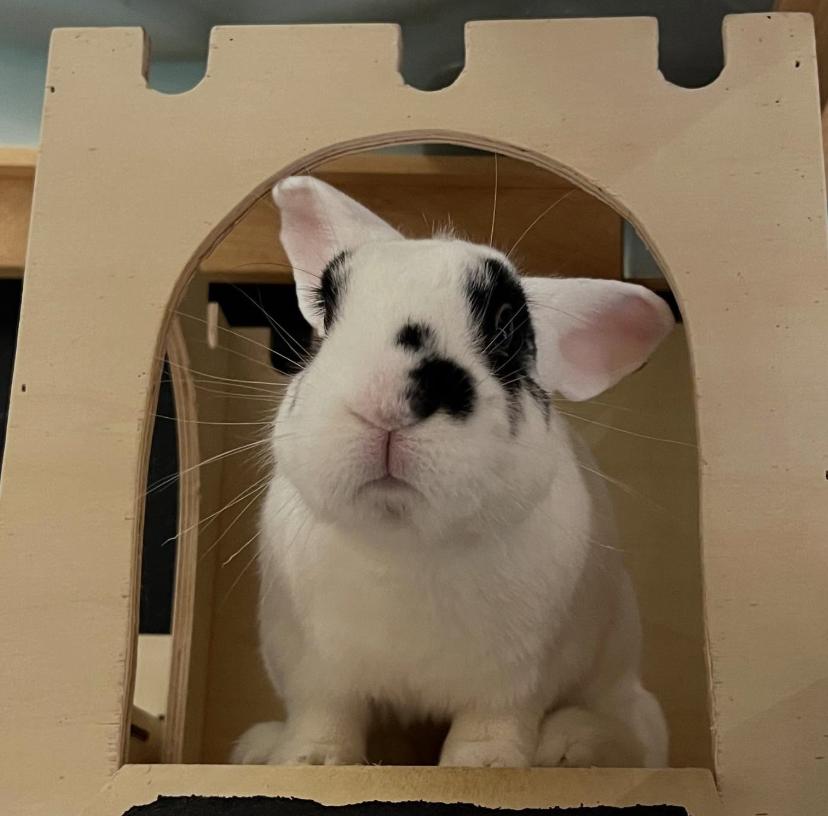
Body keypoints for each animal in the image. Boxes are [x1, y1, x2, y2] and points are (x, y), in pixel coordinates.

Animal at [231, 175, 672, 769]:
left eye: (508, 327)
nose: (384, 401)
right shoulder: (316, 675)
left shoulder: (514, 683)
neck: (404, 545)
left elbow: (489, 727)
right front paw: (309, 764)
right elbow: (323, 719)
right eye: (328, 316)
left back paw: (569, 748)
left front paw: (483, 769)